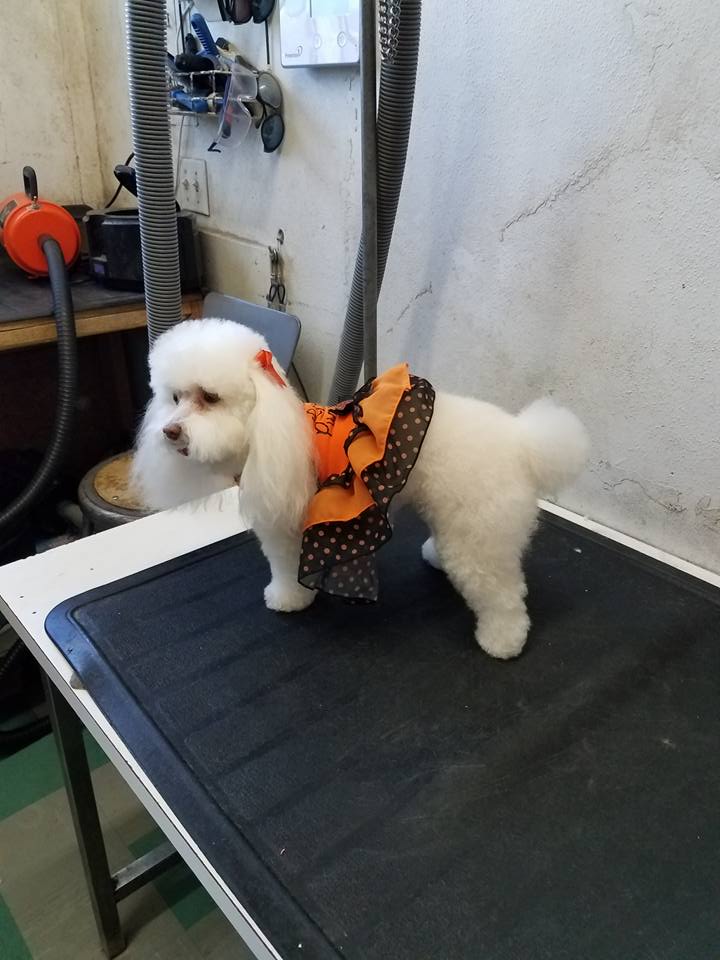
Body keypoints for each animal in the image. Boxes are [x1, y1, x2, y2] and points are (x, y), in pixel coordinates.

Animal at [133, 318, 588, 659]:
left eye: (210, 397)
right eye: (174, 398)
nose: (170, 432)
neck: (268, 426)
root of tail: (522, 441)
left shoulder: (286, 528)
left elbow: (285, 568)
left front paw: (288, 599)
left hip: (480, 532)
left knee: (503, 594)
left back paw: (502, 641)